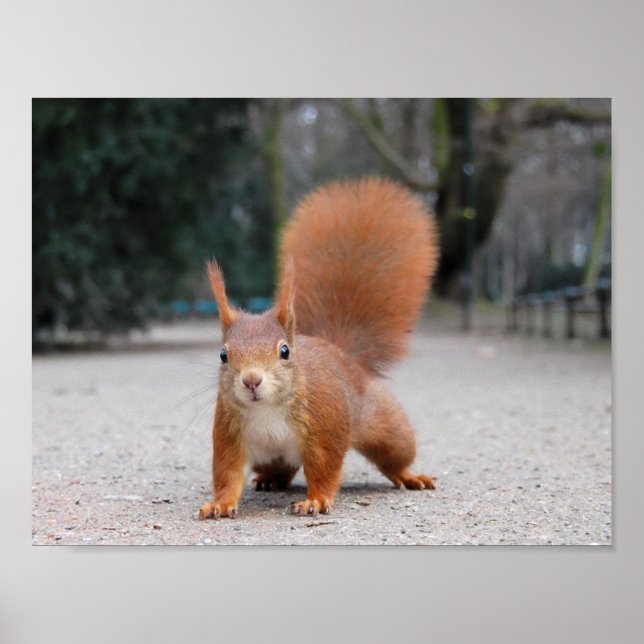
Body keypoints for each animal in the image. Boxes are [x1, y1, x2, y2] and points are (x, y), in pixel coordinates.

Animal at [198, 177, 439, 519]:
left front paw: (315, 500)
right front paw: (219, 504)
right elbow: (228, 474)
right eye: (223, 354)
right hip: (270, 456)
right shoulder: (230, 436)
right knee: (281, 468)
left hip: (387, 427)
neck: (267, 409)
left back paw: (410, 476)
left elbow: (324, 469)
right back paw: (270, 479)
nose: (251, 380)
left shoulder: (325, 428)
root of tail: (341, 353)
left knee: (395, 456)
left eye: (285, 351)